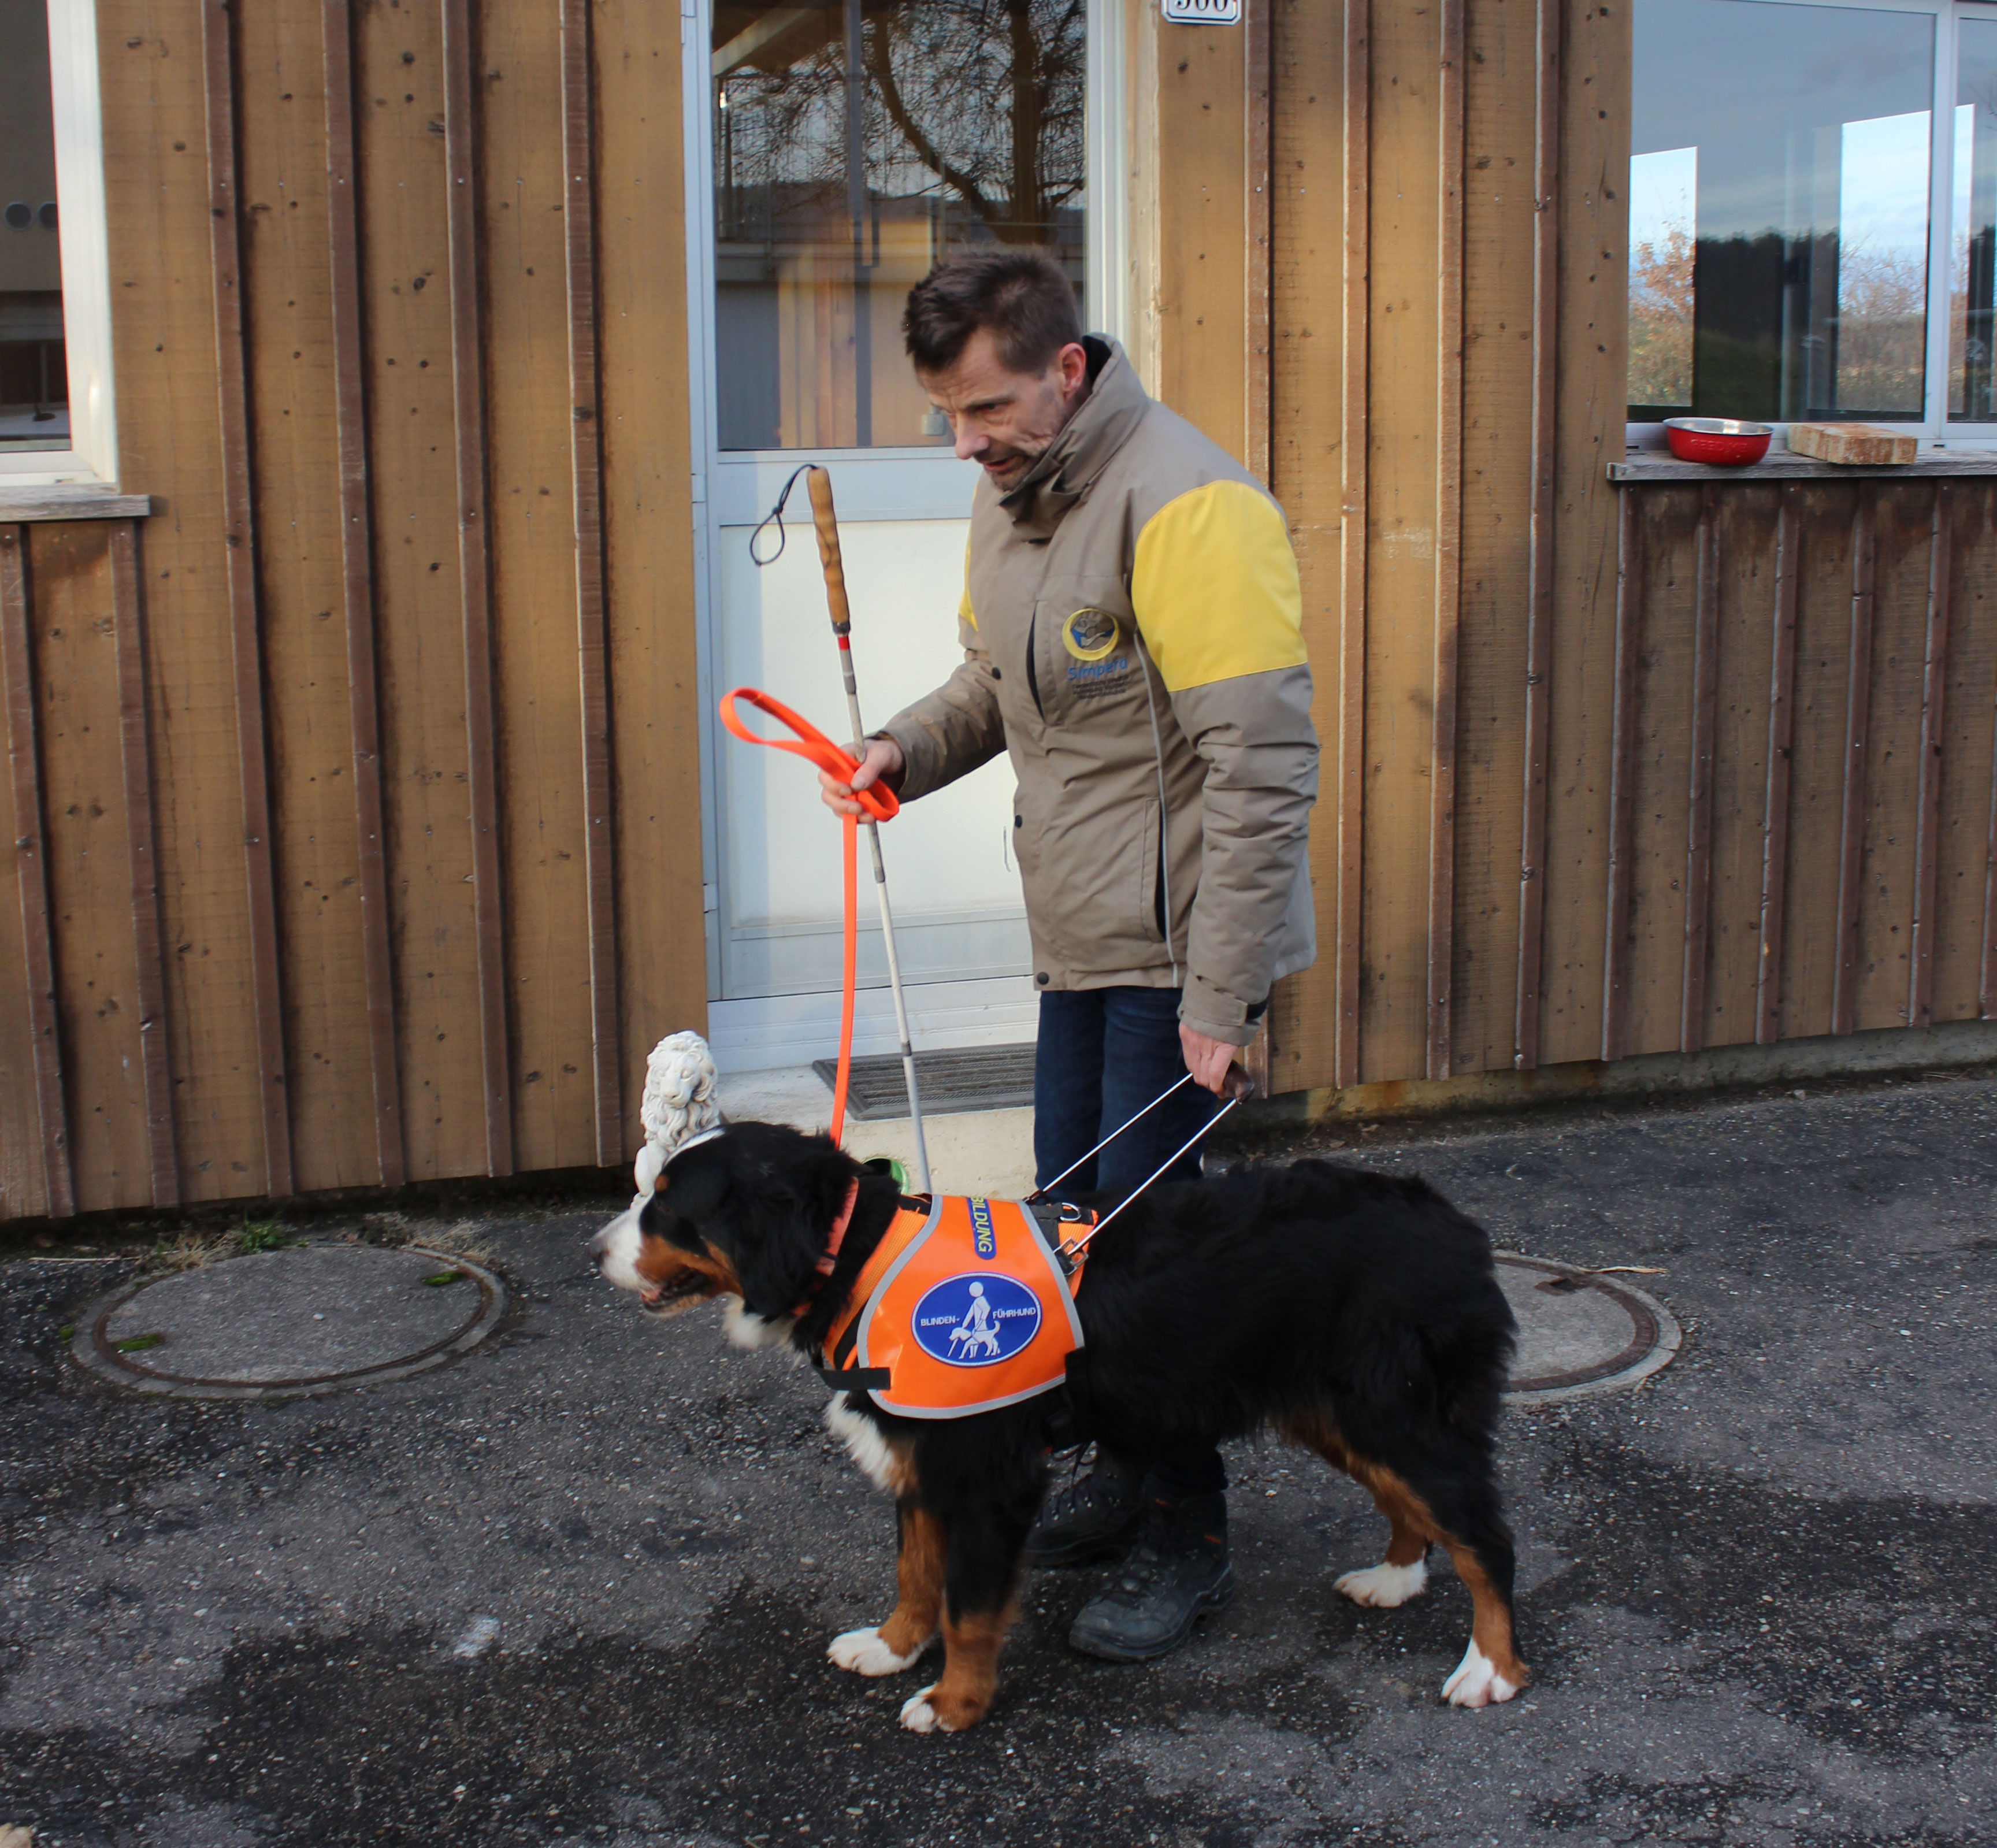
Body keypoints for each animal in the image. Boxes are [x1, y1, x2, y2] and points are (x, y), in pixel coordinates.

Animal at [583, 1119, 1517, 1734]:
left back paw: (1492, 1669)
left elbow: (967, 1606)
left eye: (667, 1207)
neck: (867, 1261)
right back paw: (1395, 1578)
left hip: (1395, 1417)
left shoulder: (985, 1479)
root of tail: (1454, 1222)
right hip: (1344, 1416)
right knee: (1415, 1510)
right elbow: (916, 1575)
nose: (594, 1252)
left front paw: (953, 1703)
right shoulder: (922, 1458)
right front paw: (891, 1648)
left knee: (1484, 1537)